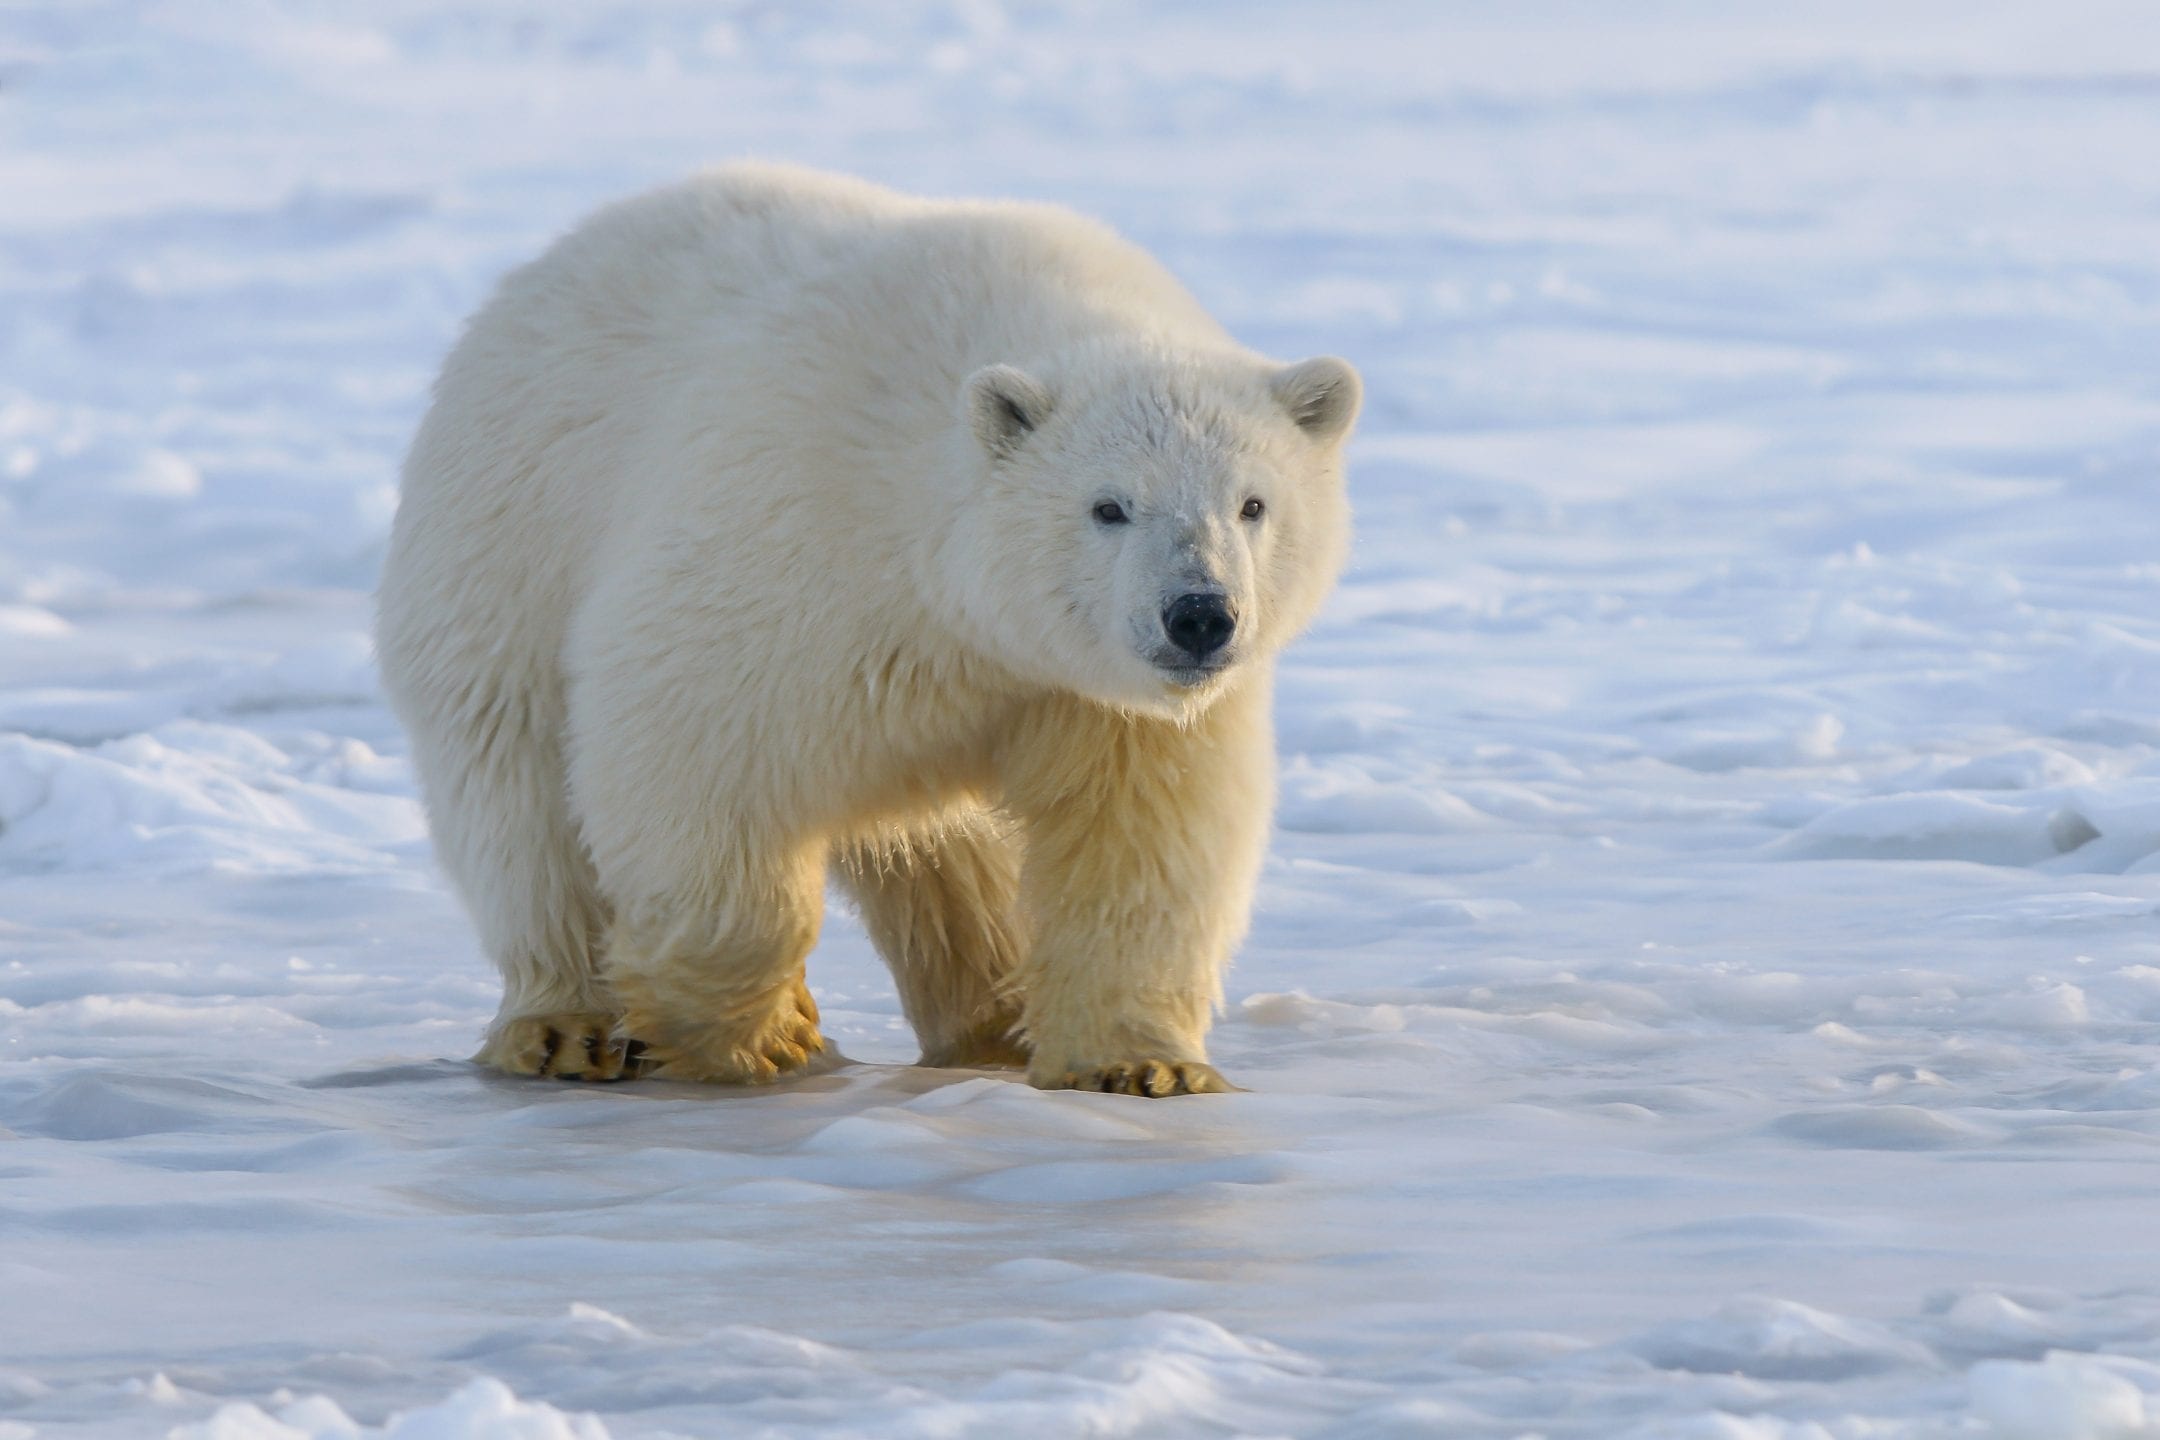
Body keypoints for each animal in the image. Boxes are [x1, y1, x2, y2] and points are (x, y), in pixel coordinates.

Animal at [371, 162, 1347, 1096]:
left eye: (1253, 504)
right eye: (1109, 506)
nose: (1200, 615)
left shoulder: (1089, 696)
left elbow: (1138, 841)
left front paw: (1143, 1066)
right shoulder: (792, 541)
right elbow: (690, 744)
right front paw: (760, 1033)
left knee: (951, 860)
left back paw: (992, 1018)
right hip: (507, 547)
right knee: (520, 797)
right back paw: (564, 1027)